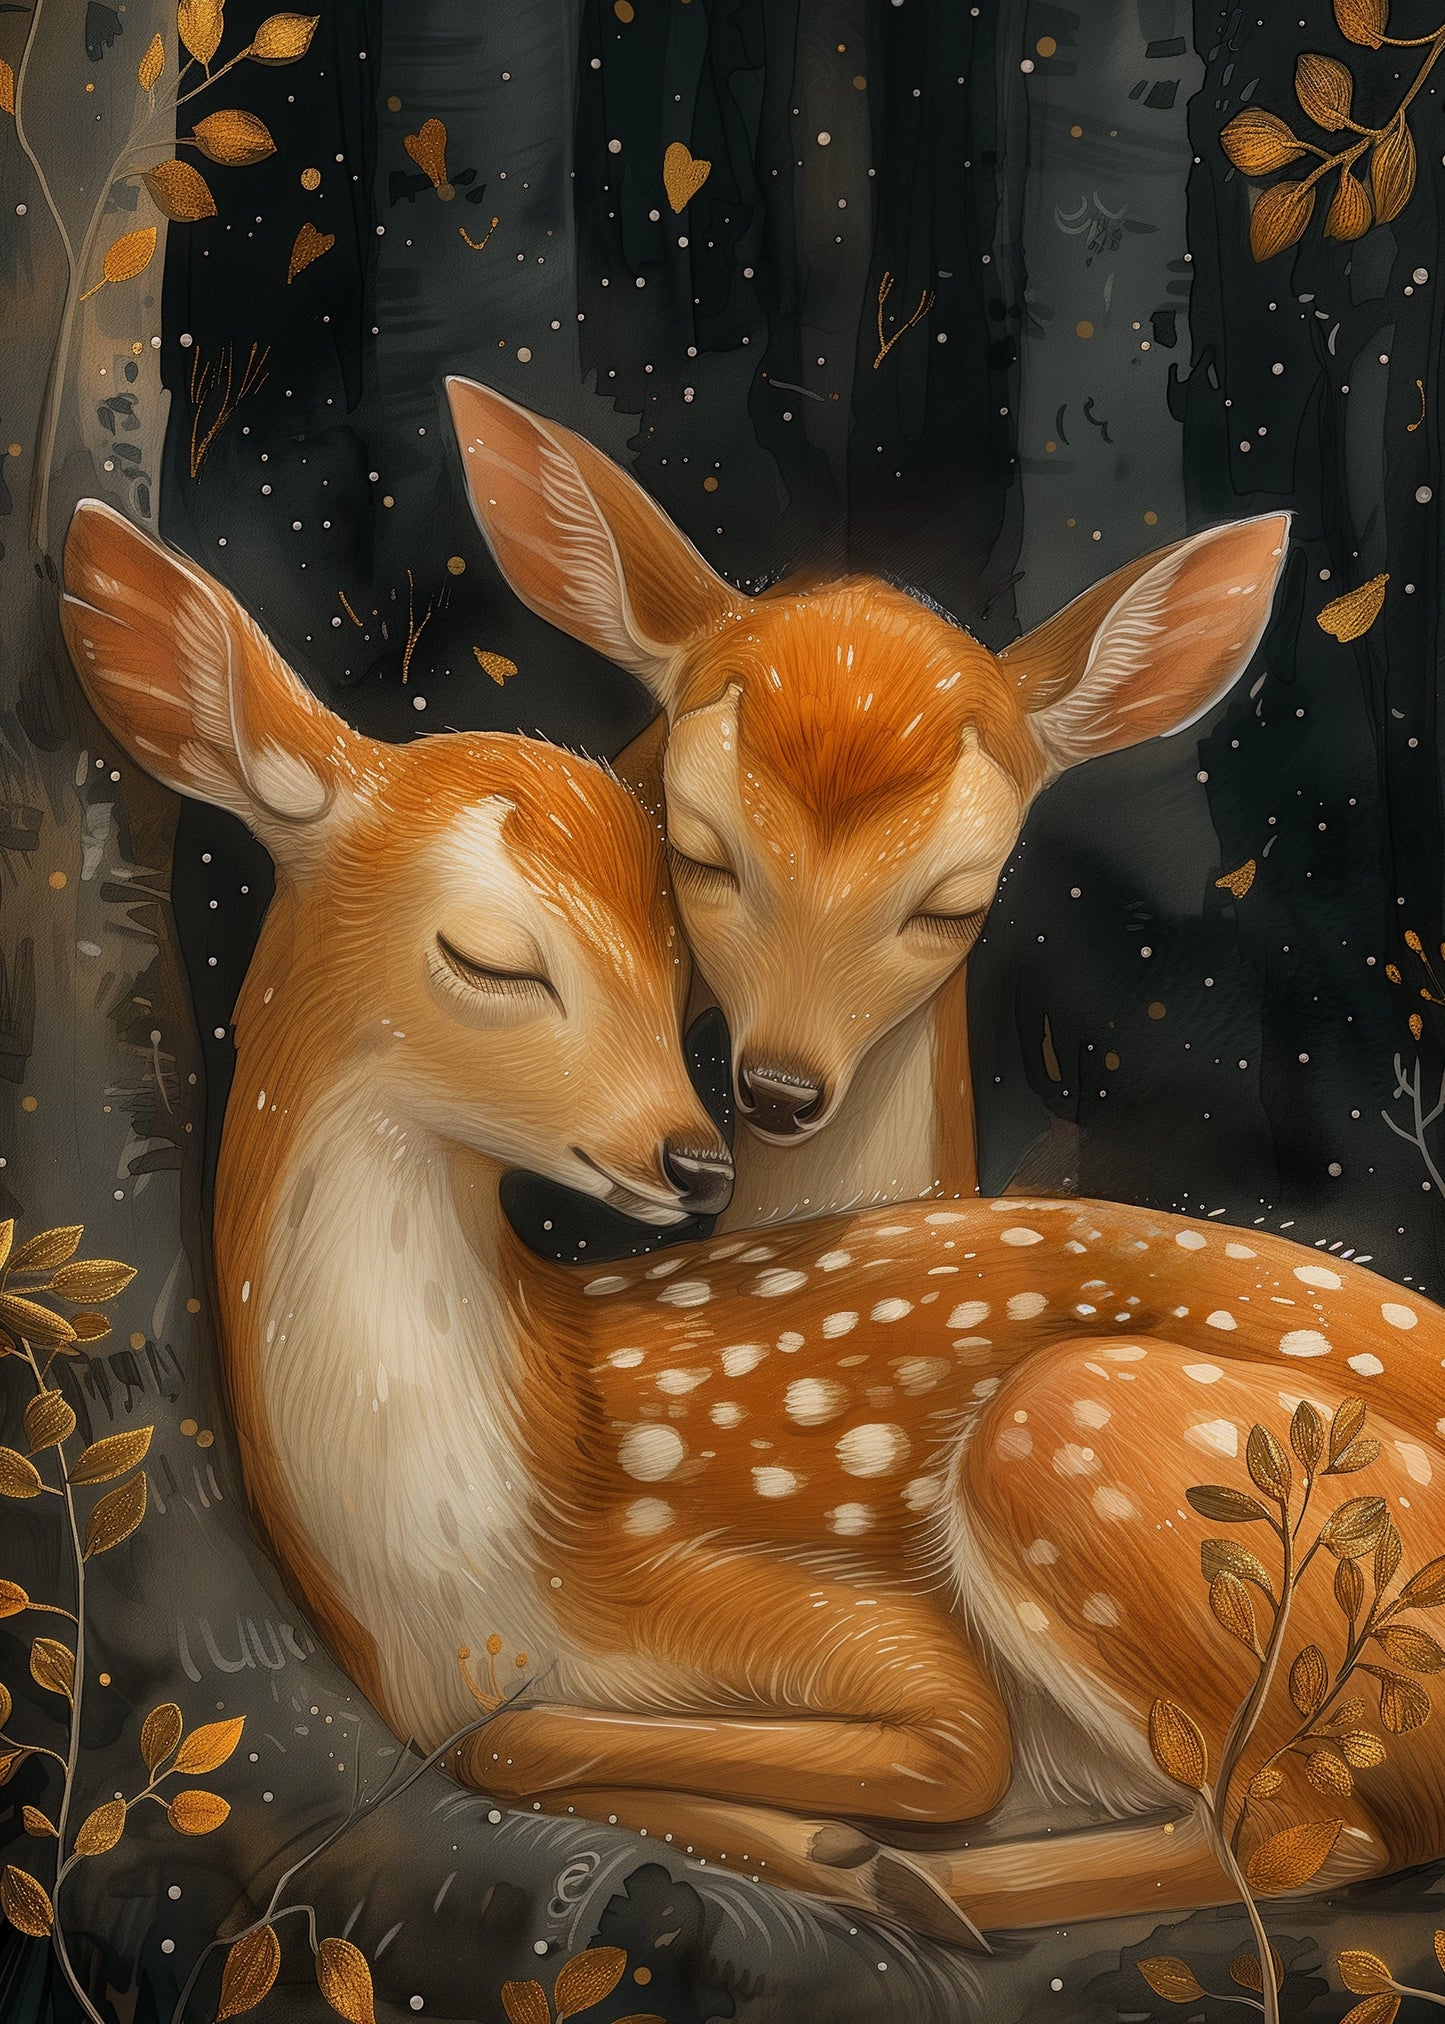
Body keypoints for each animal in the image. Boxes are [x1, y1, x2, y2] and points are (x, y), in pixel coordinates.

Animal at [62, 499, 1445, 1950]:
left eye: (672, 956)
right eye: (490, 957)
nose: (692, 1154)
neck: (466, 1575)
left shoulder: (820, 1608)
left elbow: (941, 1743)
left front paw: (840, 1846)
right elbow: (501, 1741)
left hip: (1101, 1453)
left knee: (1305, 1827)